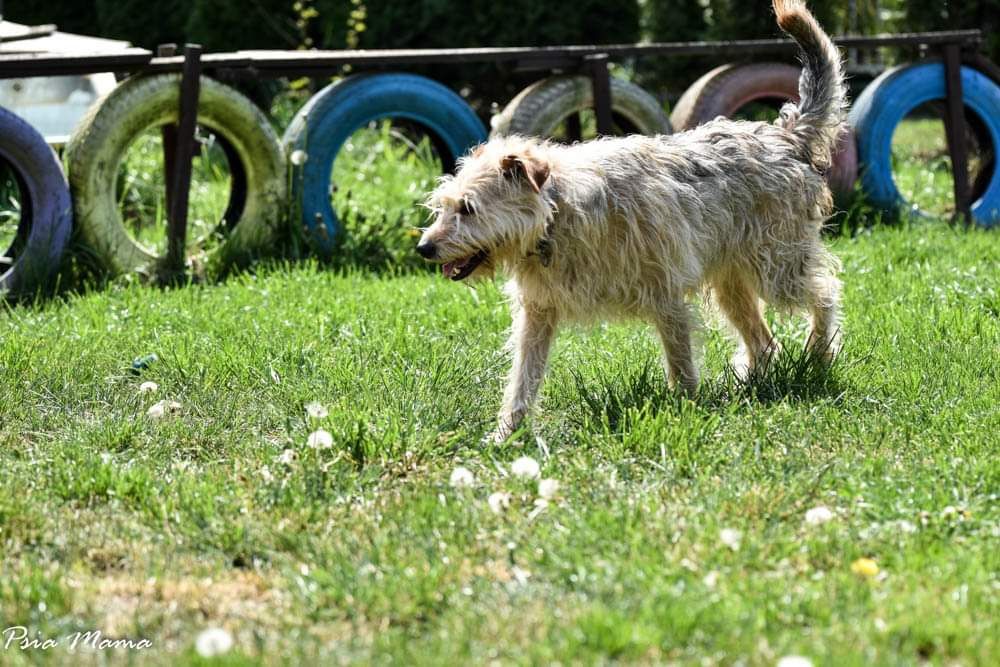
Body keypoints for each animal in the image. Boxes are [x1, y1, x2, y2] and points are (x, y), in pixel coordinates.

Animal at [418, 0, 848, 444]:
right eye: (443, 206)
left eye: (468, 208)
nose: (423, 248)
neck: (559, 216)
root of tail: (785, 136)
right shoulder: (538, 314)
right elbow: (523, 376)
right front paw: (505, 434)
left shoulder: (666, 296)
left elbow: (680, 362)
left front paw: (686, 409)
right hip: (732, 284)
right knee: (764, 342)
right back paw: (749, 381)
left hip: (778, 269)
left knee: (826, 291)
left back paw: (819, 351)